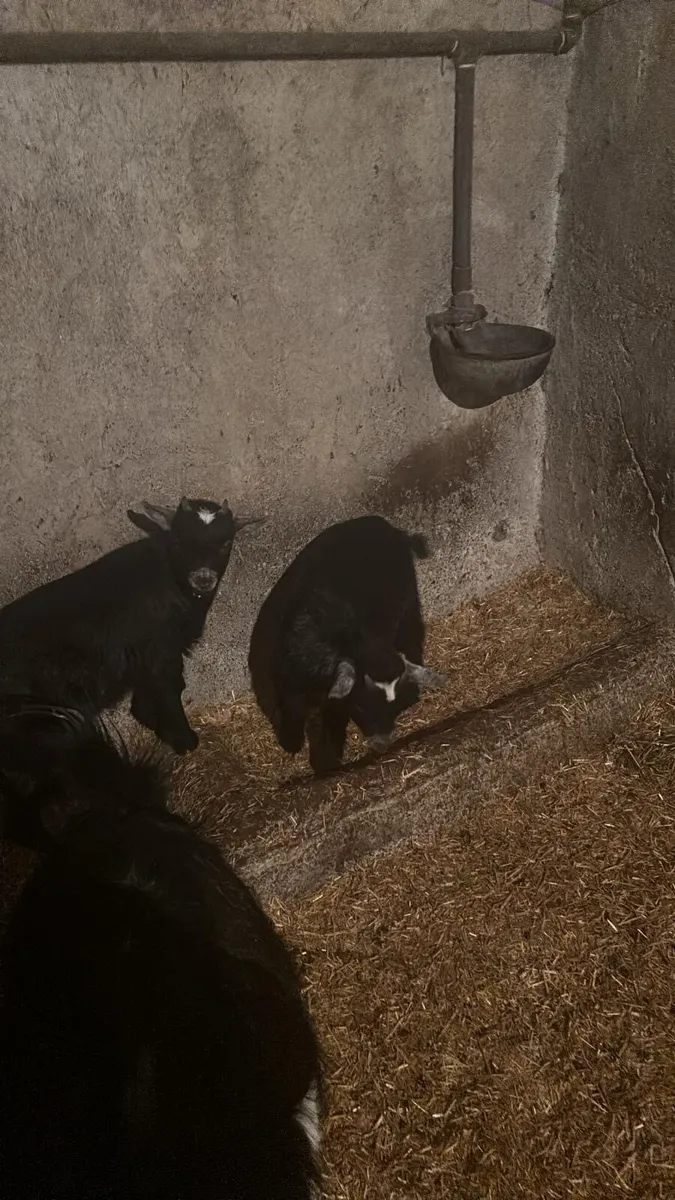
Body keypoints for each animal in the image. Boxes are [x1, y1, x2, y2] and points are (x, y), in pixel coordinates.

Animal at [0, 497, 264, 755]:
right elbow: (169, 687)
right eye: (178, 541)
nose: (203, 579)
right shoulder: (159, 649)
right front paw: (184, 740)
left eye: (226, 542)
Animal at [248, 515, 445, 775]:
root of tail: (388, 528)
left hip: (409, 600)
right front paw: (291, 742)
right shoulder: (289, 679)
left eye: (394, 710)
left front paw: (325, 764)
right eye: (361, 707)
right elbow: (290, 707)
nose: (383, 745)